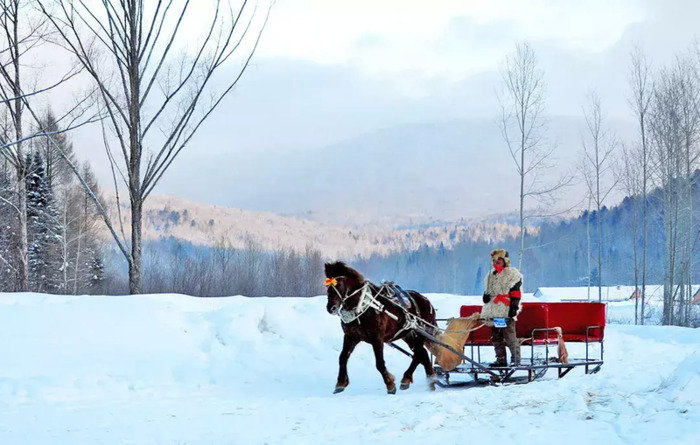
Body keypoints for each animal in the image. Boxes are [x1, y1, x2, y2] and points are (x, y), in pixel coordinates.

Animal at [324, 260, 438, 392]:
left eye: (340, 285)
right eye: (327, 286)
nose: (331, 308)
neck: (364, 306)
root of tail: (426, 301)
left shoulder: (377, 338)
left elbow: (379, 363)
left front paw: (390, 384)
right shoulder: (351, 336)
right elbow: (342, 357)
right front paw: (341, 382)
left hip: (421, 332)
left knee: (418, 354)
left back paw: (407, 378)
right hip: (409, 334)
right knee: (422, 354)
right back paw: (430, 381)